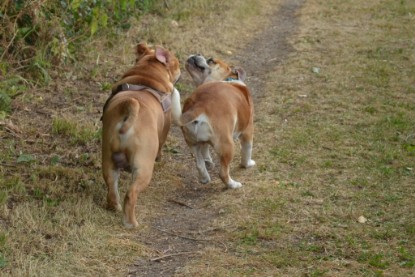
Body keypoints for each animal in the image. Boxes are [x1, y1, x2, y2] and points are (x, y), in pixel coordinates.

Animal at [101, 41, 181, 226]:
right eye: (176, 63)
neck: (146, 76)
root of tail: (129, 107)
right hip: (143, 166)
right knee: (131, 194)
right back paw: (132, 223)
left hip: (108, 158)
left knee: (112, 186)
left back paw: (114, 207)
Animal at [183, 54, 256, 188]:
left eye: (210, 60)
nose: (197, 54)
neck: (228, 80)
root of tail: (200, 104)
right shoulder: (248, 130)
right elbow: (247, 150)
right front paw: (248, 164)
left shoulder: (202, 142)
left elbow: (205, 151)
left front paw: (208, 161)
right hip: (227, 145)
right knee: (223, 172)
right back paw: (233, 185)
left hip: (192, 143)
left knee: (199, 164)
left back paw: (205, 178)